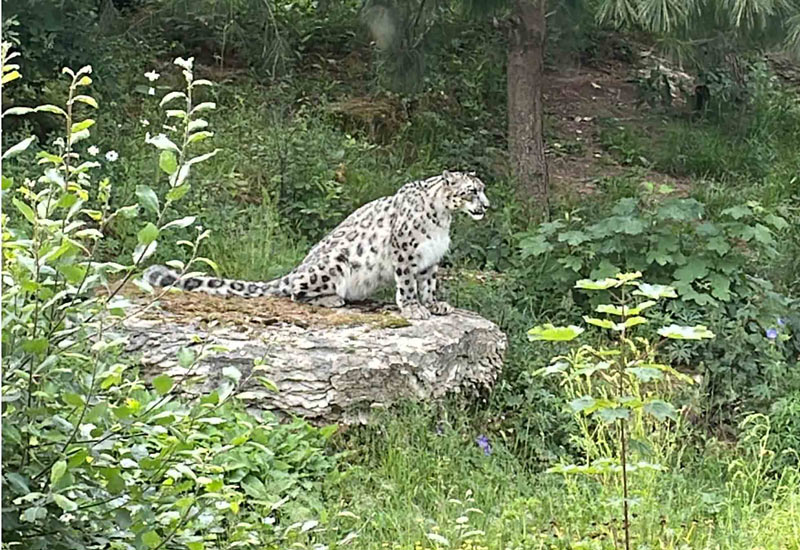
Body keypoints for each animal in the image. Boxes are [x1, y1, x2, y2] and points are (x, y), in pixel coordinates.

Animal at [143, 170, 490, 320]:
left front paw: (435, 304)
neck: (443, 219)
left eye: (482, 188)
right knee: (296, 291)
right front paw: (414, 308)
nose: (487, 205)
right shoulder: (405, 252)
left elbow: (428, 284)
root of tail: (296, 268)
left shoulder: (431, 259)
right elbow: (407, 285)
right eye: (472, 191)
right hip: (333, 264)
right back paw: (332, 299)